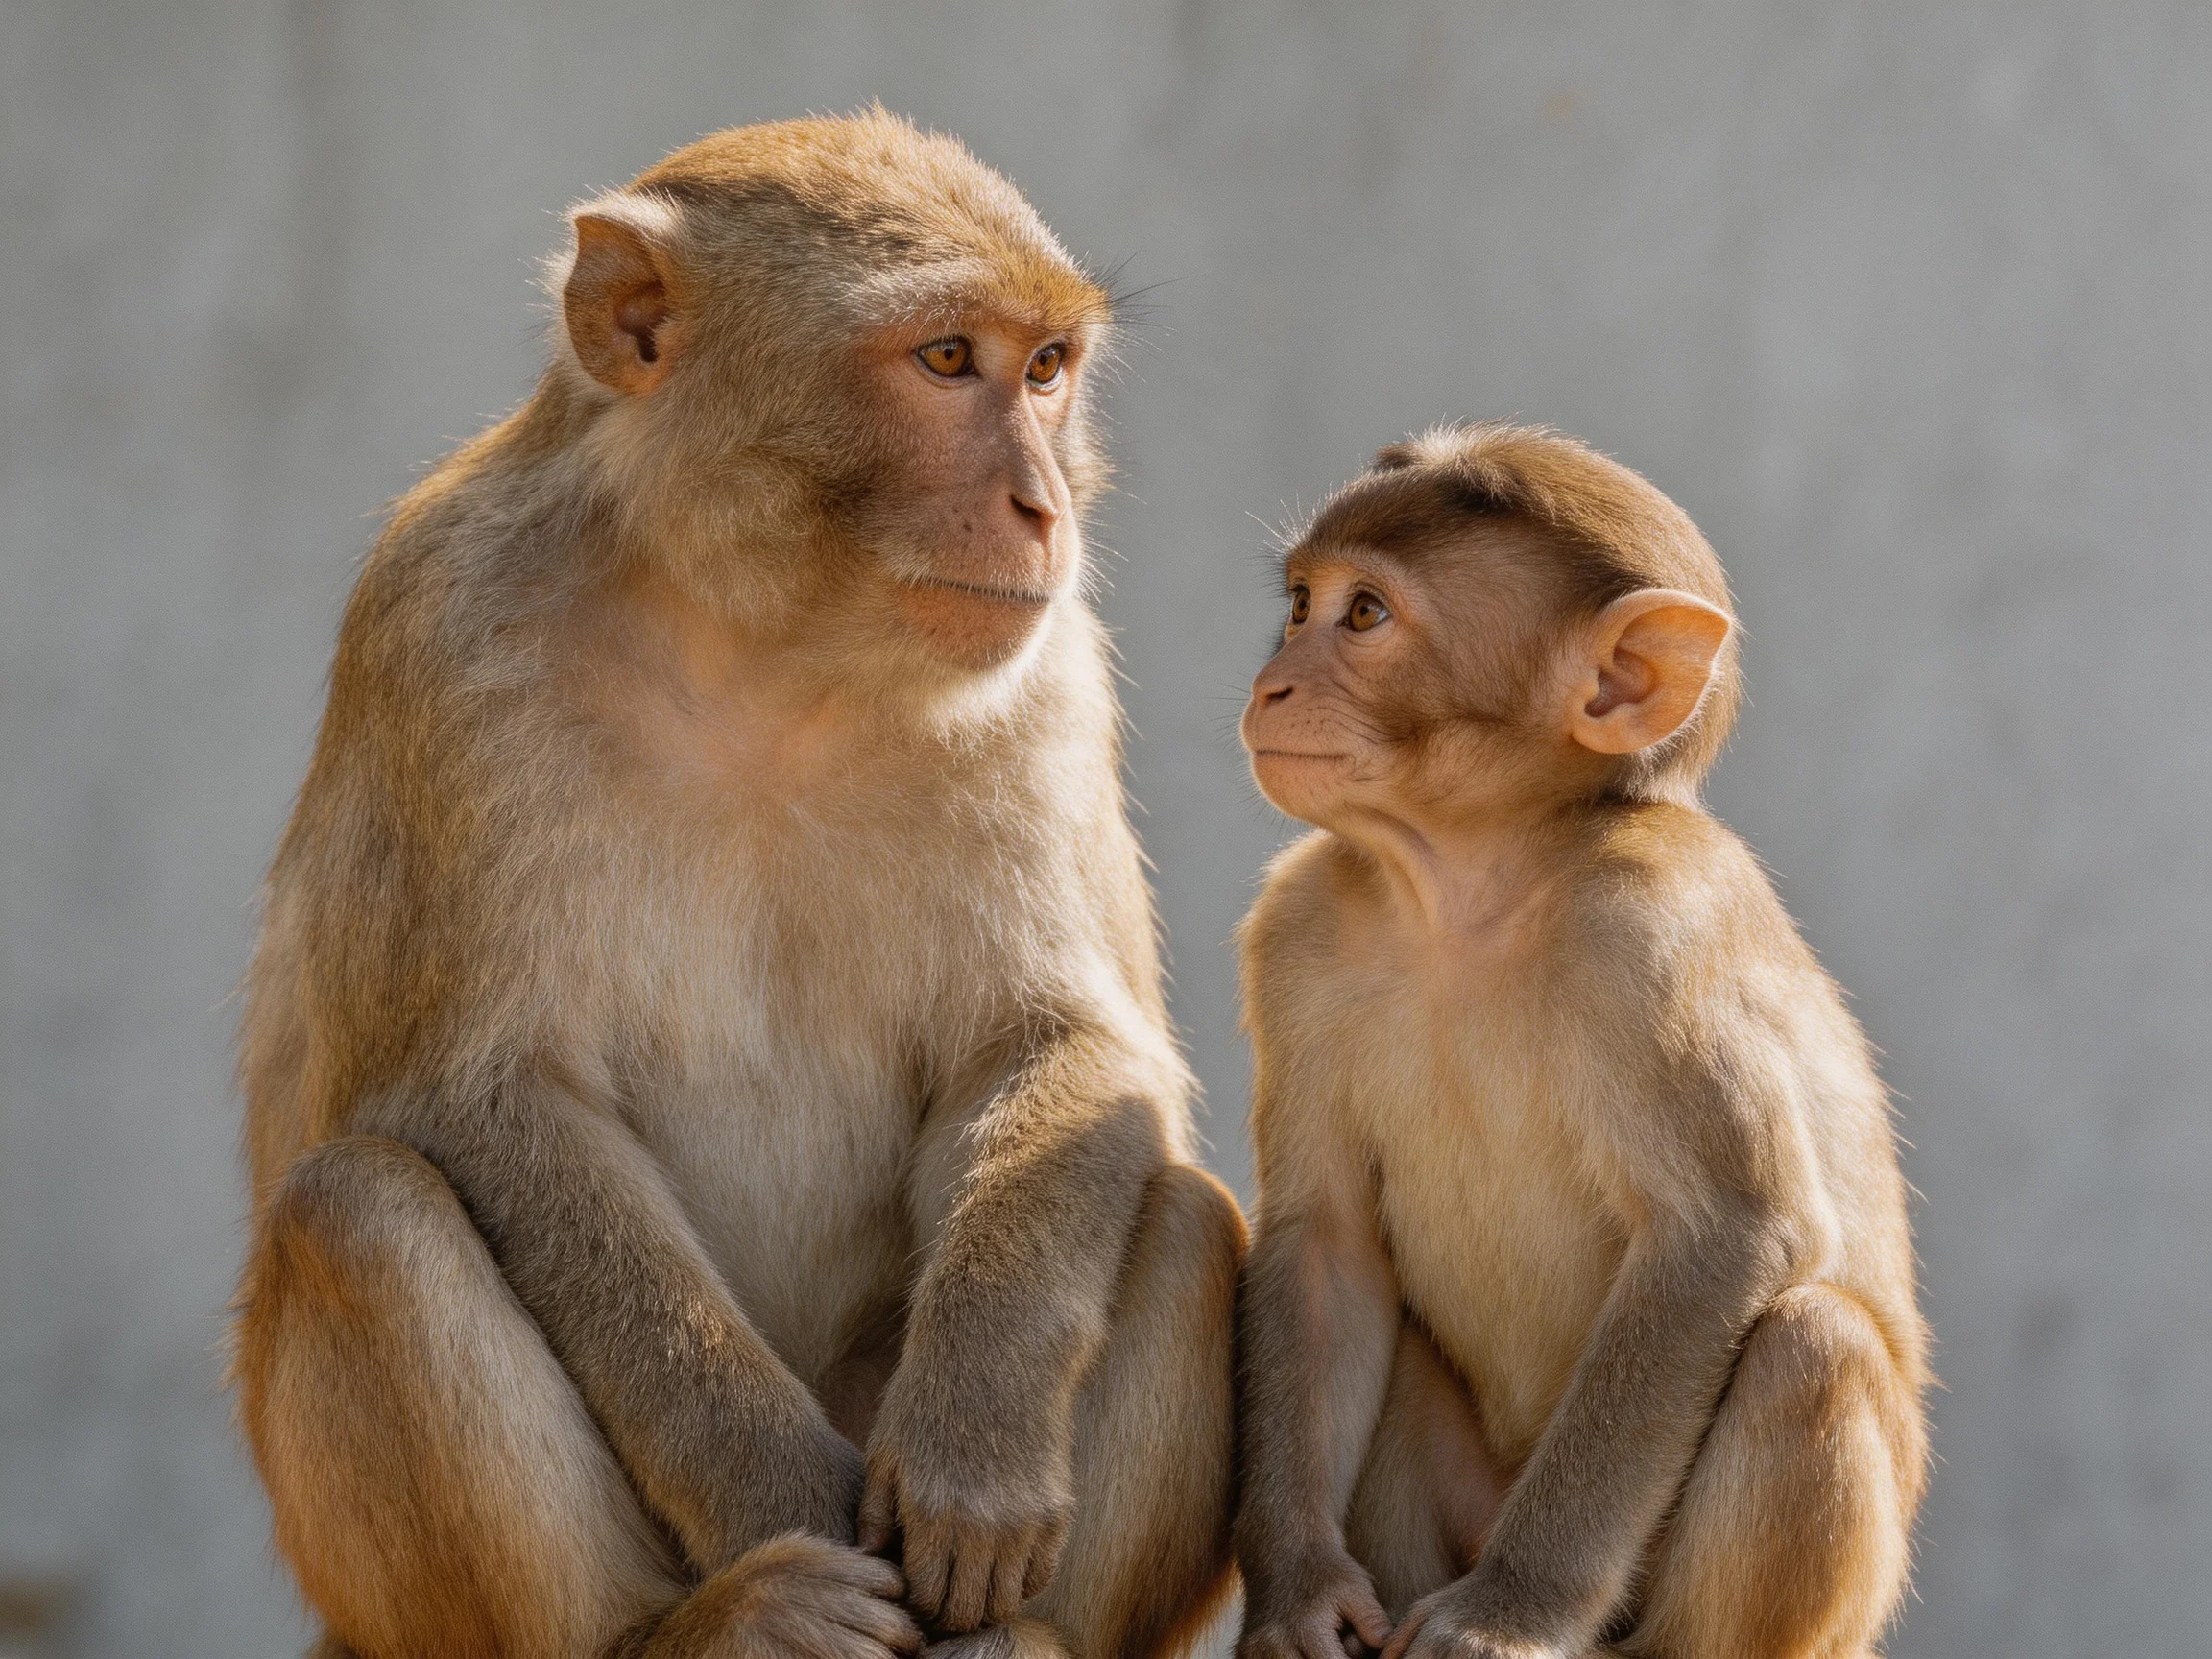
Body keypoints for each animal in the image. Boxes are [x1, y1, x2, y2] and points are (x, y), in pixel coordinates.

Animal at [229, 110, 1245, 1659]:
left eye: (1046, 369)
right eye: (945, 358)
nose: (1044, 507)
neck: (761, 646)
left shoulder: (1045, 666)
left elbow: (1065, 1041)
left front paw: (976, 1455)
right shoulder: (440, 627)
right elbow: (487, 1099)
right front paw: (780, 1508)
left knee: (1178, 1209)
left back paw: (1020, 1635)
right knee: (361, 1213)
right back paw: (705, 1629)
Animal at [1229, 424, 1930, 1659]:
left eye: (1364, 616)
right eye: (1301, 605)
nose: (1274, 682)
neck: (1472, 884)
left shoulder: (1648, 931)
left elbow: (1723, 1241)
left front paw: (1508, 1614)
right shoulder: (1299, 931)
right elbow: (1327, 1244)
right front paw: (1298, 1595)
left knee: (1814, 1348)